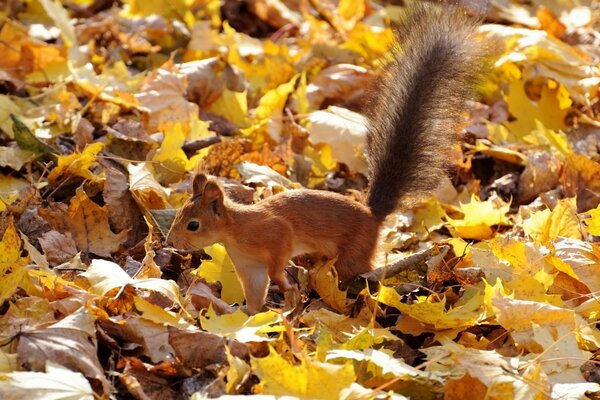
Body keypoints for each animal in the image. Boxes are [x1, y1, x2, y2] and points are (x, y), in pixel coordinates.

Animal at [166, 3, 486, 316]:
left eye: (193, 224)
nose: (170, 242)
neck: (235, 230)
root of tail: (372, 216)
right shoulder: (249, 265)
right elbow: (255, 292)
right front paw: (246, 315)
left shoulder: (276, 234)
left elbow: (278, 261)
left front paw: (285, 285)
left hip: (352, 254)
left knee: (358, 275)